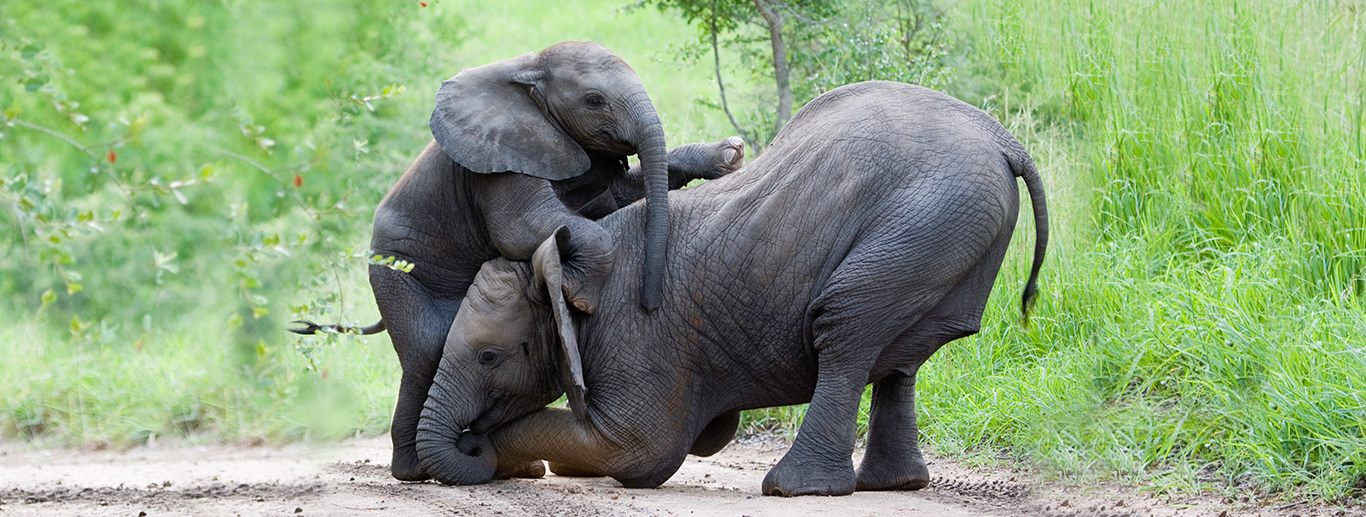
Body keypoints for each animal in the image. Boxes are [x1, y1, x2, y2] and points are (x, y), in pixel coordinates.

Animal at [409, 81, 1049, 497]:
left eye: (492, 357)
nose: (468, 444)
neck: (564, 266)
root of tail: (1003, 138)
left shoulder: (638, 334)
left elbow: (635, 449)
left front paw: (502, 452)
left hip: (926, 220)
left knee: (846, 328)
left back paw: (796, 490)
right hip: (949, 230)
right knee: (901, 358)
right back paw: (894, 485)